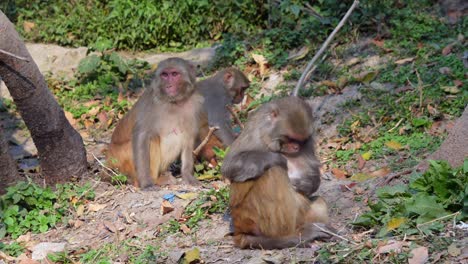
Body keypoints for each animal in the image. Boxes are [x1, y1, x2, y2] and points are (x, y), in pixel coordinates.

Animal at [107, 58, 204, 190]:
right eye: (164, 75)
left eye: (174, 74)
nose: (168, 85)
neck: (174, 102)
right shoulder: (151, 103)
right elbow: (141, 136)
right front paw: (146, 183)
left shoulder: (195, 105)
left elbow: (188, 137)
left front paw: (188, 176)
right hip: (120, 159)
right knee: (152, 138)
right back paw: (155, 180)